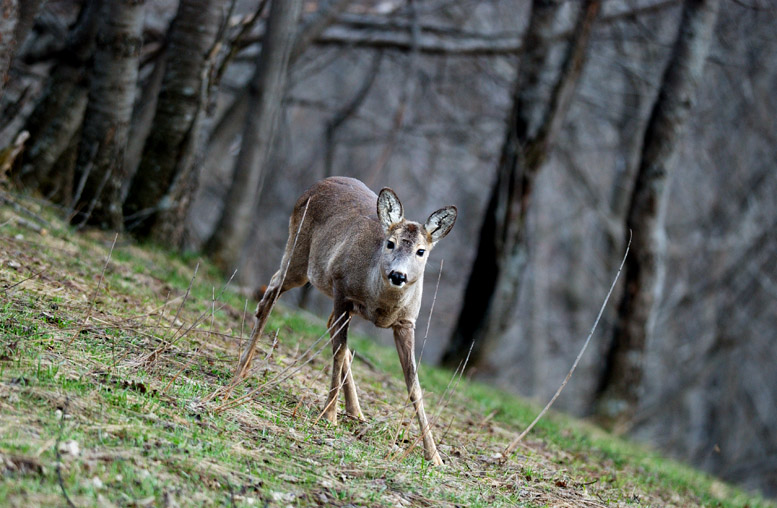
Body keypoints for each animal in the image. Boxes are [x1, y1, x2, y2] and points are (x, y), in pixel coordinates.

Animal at [233, 177, 458, 466]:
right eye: (390, 243)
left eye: (421, 251)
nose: (398, 275)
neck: (381, 306)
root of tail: (317, 185)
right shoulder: (342, 289)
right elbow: (339, 353)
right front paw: (328, 416)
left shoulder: (406, 322)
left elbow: (414, 385)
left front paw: (434, 455)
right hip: (298, 254)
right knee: (270, 292)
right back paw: (242, 368)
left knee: (329, 325)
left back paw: (356, 412)